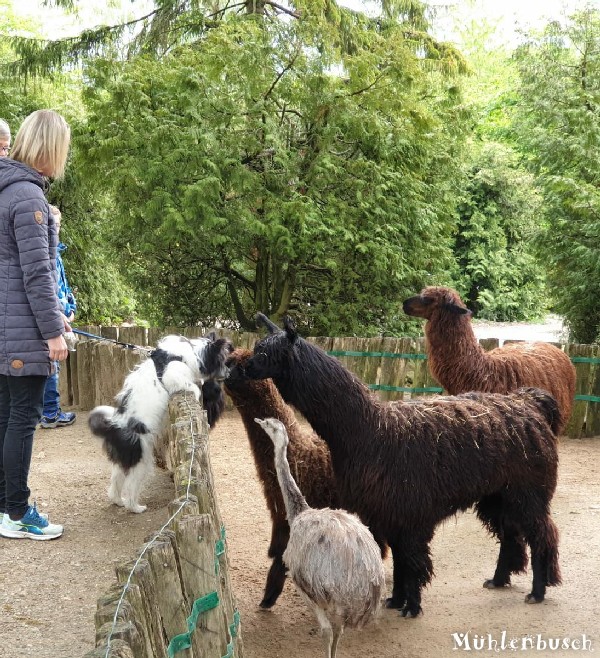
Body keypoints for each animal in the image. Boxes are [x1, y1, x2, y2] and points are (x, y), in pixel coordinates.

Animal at [89, 334, 232, 512]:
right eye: (222, 361)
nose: (229, 372)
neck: (191, 353)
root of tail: (114, 428)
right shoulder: (173, 374)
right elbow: (190, 385)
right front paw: (196, 390)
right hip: (142, 460)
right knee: (131, 485)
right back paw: (135, 507)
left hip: (126, 459)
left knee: (116, 479)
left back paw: (118, 501)